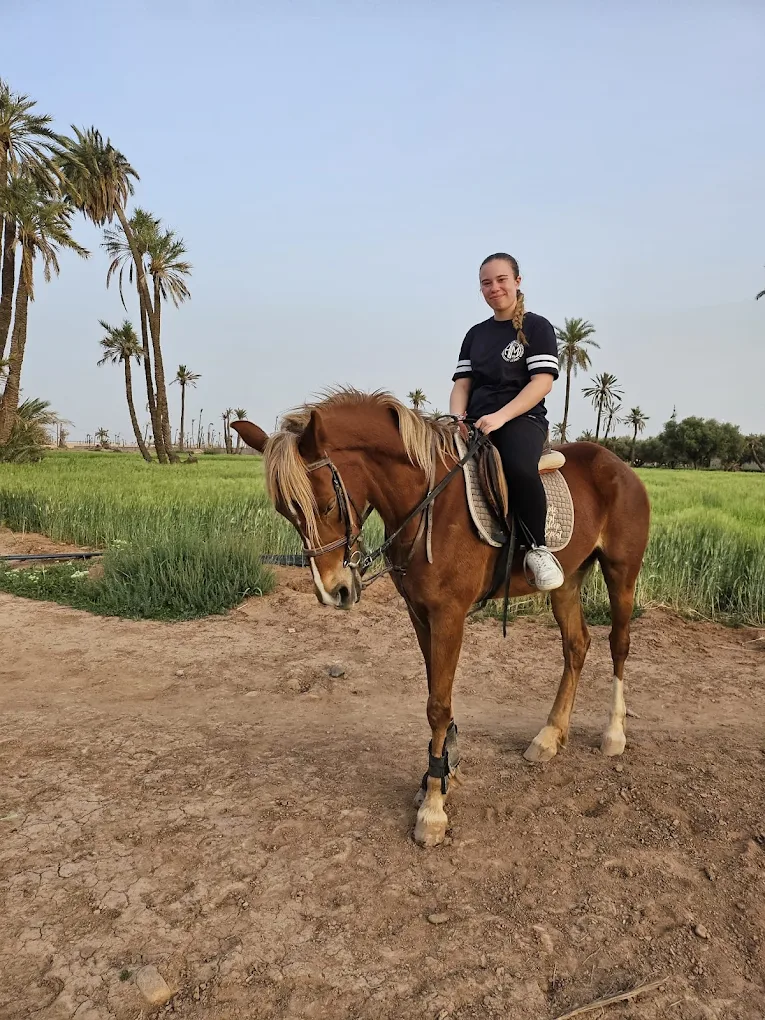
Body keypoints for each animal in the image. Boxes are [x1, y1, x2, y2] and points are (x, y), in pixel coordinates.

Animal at [231, 389, 650, 848]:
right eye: (285, 513)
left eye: (325, 505)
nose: (333, 592)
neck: (427, 503)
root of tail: (617, 465)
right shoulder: (420, 614)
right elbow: (436, 690)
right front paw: (442, 771)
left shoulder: (449, 615)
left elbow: (438, 704)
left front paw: (433, 807)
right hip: (567, 581)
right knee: (576, 646)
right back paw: (549, 736)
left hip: (621, 572)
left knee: (619, 645)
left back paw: (614, 733)